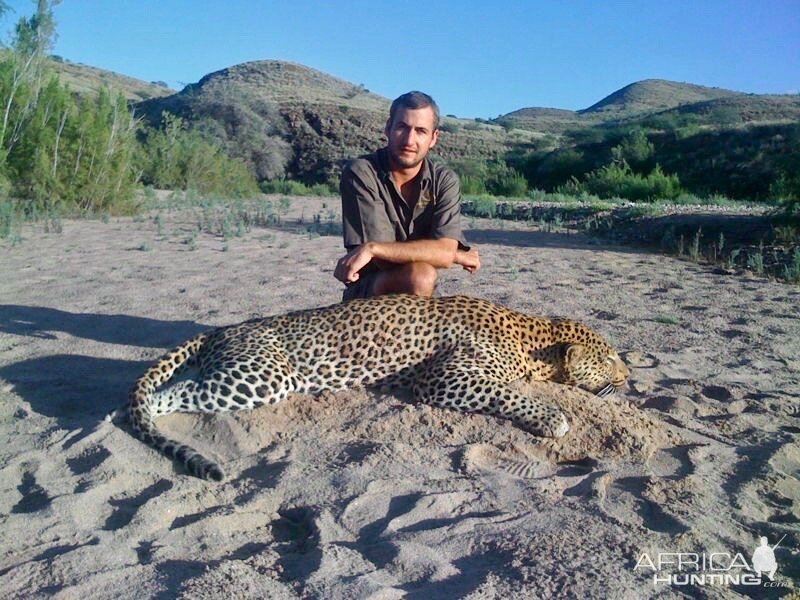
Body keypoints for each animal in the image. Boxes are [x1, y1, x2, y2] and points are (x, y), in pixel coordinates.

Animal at [128, 296, 628, 482]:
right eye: (608, 358)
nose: (628, 379)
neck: (534, 339)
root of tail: (219, 331)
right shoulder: (444, 378)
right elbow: (509, 393)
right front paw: (552, 417)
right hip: (264, 376)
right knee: (162, 395)